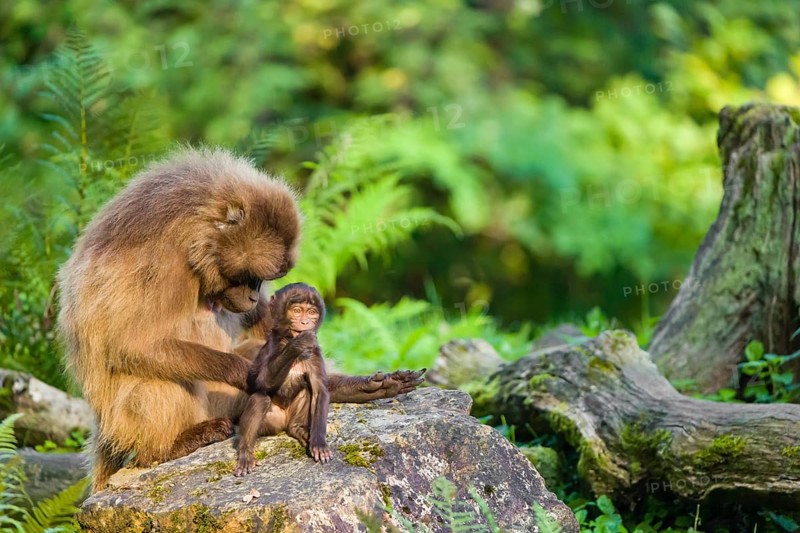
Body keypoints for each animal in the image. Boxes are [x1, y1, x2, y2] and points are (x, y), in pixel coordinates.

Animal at [235, 283, 331, 476]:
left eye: (312, 312)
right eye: (297, 310)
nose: (305, 323)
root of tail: (285, 423)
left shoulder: (315, 352)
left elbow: (319, 391)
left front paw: (319, 443)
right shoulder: (271, 344)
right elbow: (261, 381)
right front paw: (297, 344)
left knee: (306, 389)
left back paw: (298, 429)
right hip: (272, 423)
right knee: (260, 398)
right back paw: (245, 450)